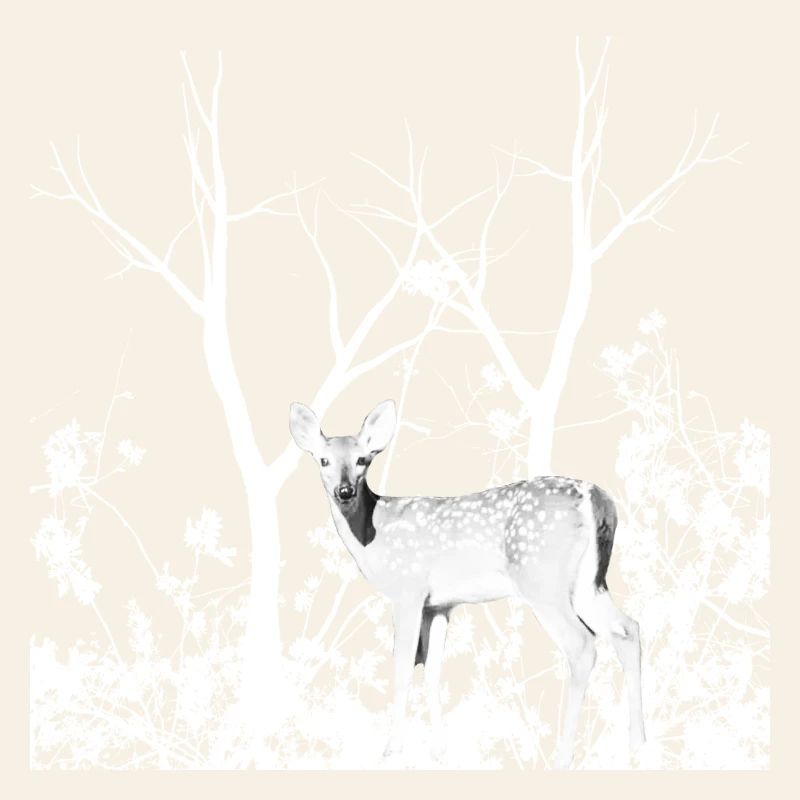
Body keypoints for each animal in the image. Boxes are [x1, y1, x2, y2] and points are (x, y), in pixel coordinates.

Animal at [289, 399, 645, 768]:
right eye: (324, 460)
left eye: (363, 459)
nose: (344, 491)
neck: (374, 534)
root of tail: (595, 497)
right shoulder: (439, 605)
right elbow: (432, 668)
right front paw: (438, 750)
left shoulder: (408, 590)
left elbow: (403, 665)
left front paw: (392, 748)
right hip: (590, 581)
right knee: (627, 628)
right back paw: (638, 745)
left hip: (543, 580)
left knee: (583, 644)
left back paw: (562, 756)